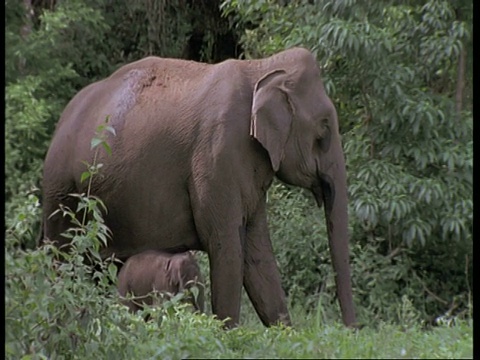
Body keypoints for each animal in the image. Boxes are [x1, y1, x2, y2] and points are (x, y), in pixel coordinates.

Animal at [41, 46, 356, 328]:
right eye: (324, 129)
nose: (350, 330)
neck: (260, 68)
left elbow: (258, 253)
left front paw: (284, 335)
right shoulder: (218, 154)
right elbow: (226, 244)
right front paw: (228, 335)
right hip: (60, 189)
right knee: (63, 258)